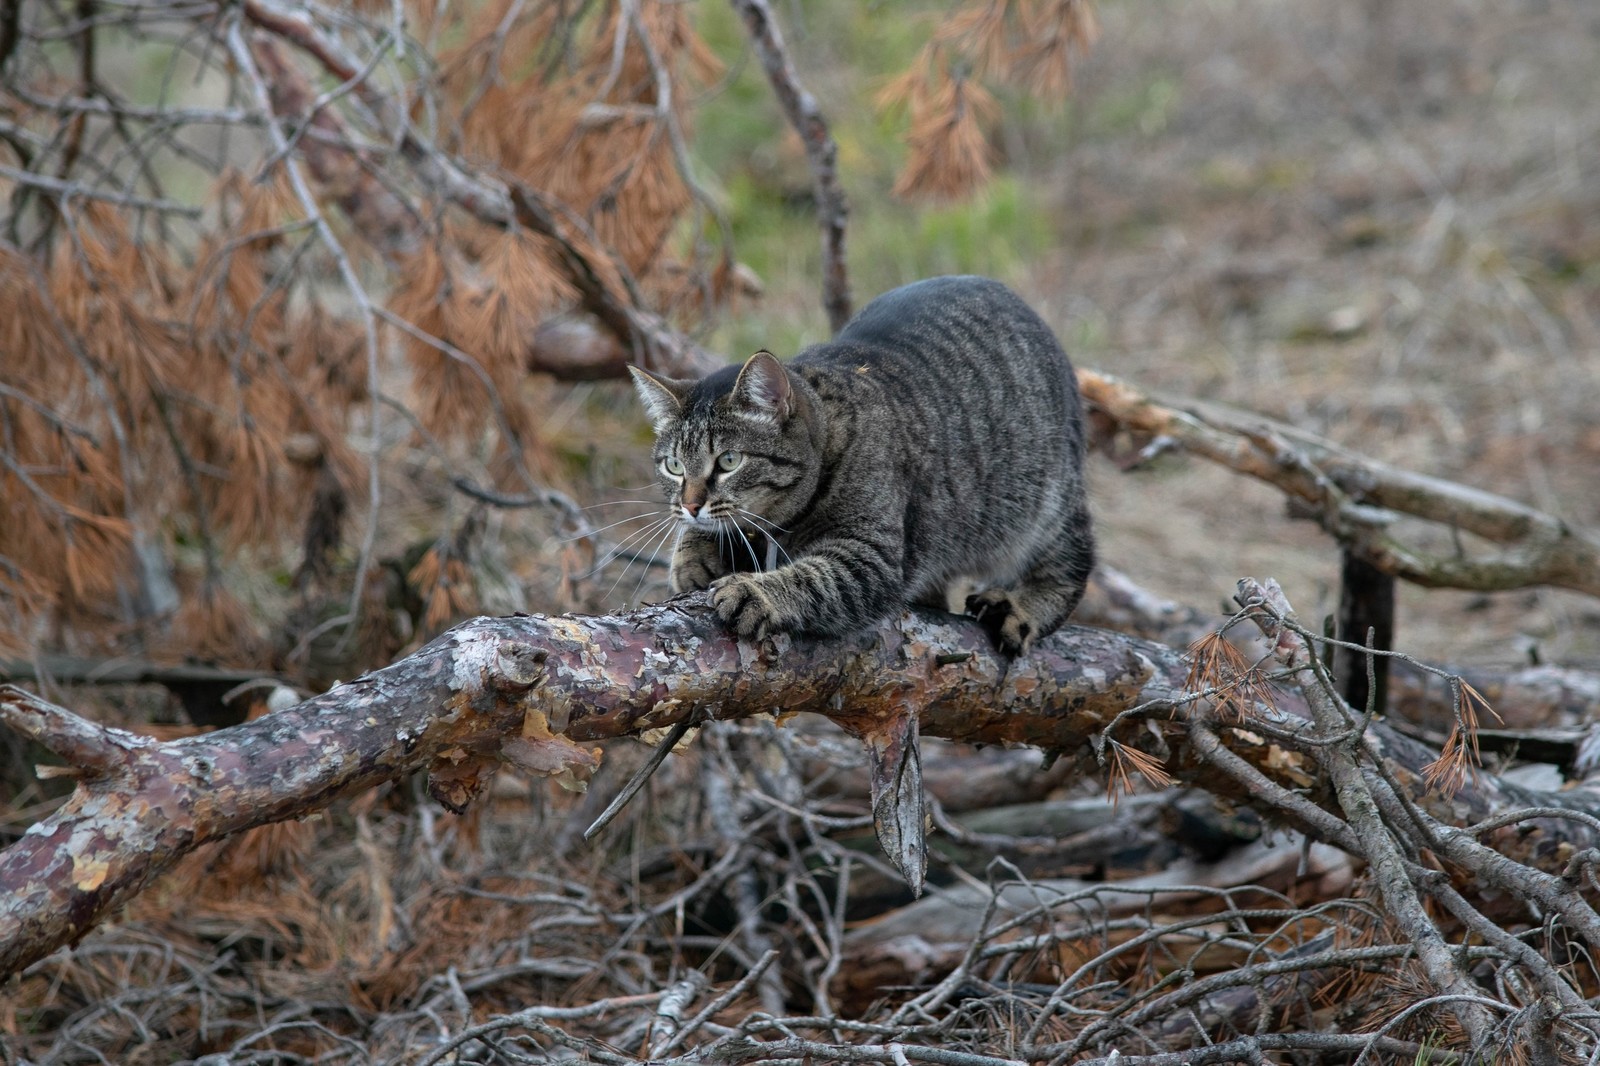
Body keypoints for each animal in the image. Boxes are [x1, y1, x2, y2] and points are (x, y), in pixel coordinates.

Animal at [630, 272, 1094, 656]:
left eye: (729, 460)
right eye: (673, 466)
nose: (690, 505)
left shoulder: (873, 554)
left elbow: (815, 577)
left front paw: (754, 592)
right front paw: (692, 557)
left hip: (1049, 502)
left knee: (1073, 559)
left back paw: (1021, 606)